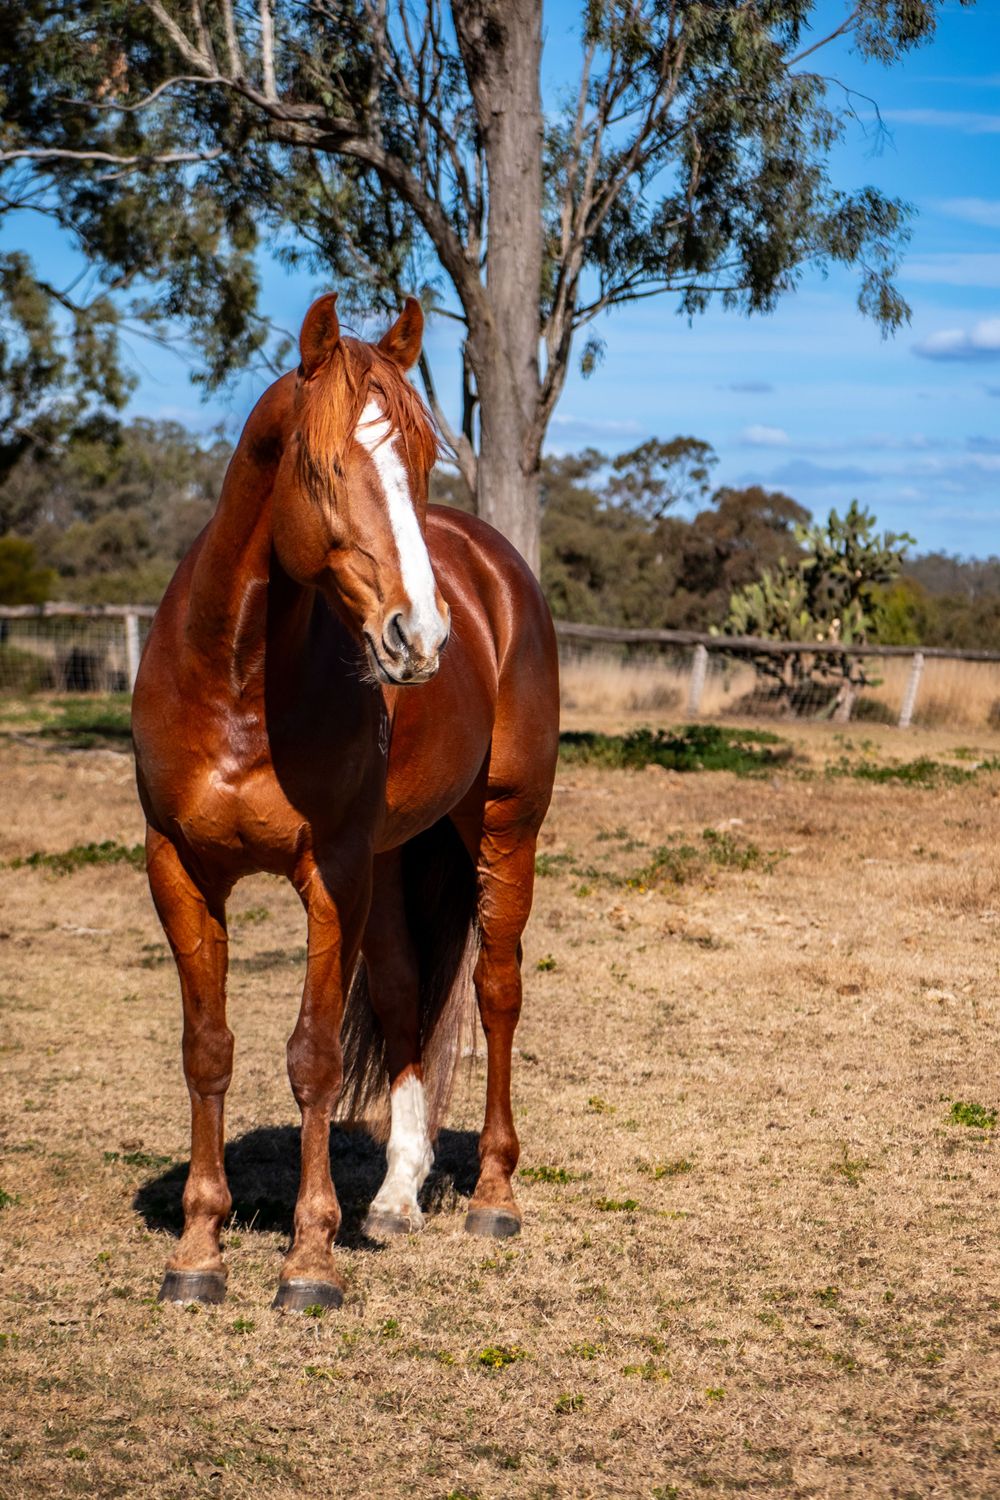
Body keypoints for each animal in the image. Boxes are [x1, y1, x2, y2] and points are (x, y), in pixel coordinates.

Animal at [131, 293, 560, 1312]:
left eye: (423, 462)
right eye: (323, 467)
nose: (422, 636)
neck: (237, 685)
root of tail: (497, 571)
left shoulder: (328, 875)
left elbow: (314, 1057)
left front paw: (310, 1260)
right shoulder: (180, 869)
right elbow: (208, 1048)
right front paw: (198, 1250)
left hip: (504, 829)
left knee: (495, 992)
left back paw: (495, 1195)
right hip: (397, 859)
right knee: (407, 1000)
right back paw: (397, 1199)